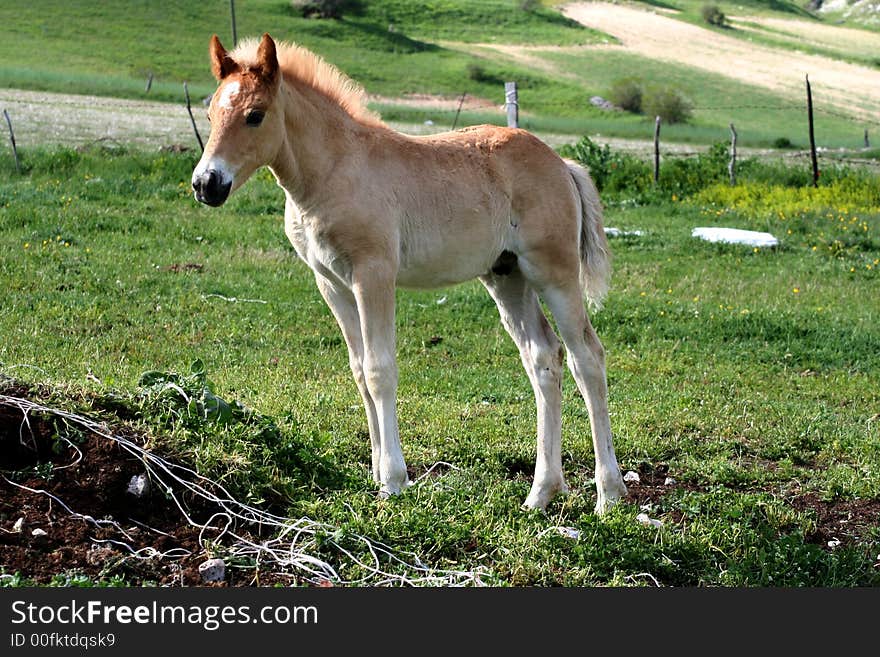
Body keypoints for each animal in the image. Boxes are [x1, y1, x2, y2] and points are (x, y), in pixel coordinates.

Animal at [192, 32, 628, 512]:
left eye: (255, 115)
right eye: (210, 114)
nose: (207, 184)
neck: (335, 170)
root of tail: (562, 165)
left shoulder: (373, 274)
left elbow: (380, 369)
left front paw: (394, 480)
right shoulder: (332, 283)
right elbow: (359, 371)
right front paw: (376, 472)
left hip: (554, 273)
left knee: (587, 358)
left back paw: (609, 493)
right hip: (506, 277)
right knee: (543, 358)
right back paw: (541, 492)